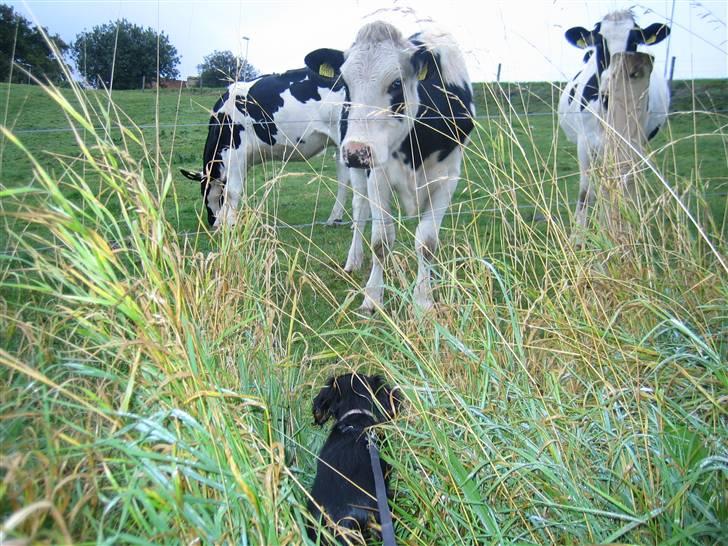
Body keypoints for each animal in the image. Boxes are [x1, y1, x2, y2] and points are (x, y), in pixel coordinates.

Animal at [179, 68, 356, 227]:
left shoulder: (234, 152)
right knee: (344, 179)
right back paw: (335, 219)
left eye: (203, 190)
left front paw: (228, 226)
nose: (211, 222)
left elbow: (232, 191)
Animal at [304, 22, 474, 310]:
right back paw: (353, 260)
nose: (356, 152)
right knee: (359, 210)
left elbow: (427, 242)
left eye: (396, 83)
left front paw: (423, 300)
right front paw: (372, 297)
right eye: (345, 83)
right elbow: (381, 240)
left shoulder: (447, 179)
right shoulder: (377, 174)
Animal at [556, 10, 672, 227]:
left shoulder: (633, 144)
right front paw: (578, 234)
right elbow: (586, 192)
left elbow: (624, 187)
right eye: (599, 41)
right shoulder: (585, 142)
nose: (612, 83)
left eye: (634, 41)